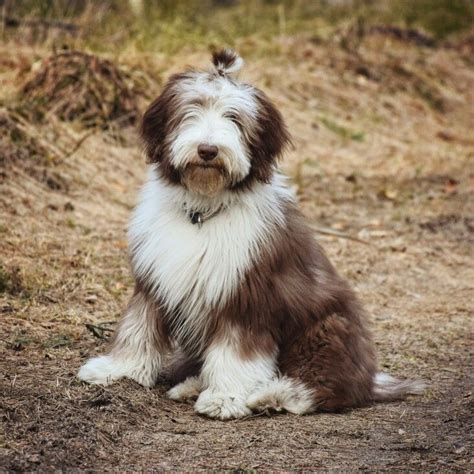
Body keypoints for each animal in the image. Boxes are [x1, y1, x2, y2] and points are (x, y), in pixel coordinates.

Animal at [78, 48, 426, 418]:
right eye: (191, 110)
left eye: (234, 118)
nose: (208, 150)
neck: (203, 212)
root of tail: (370, 380)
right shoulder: (154, 280)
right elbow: (137, 328)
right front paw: (117, 370)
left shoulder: (247, 296)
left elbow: (236, 355)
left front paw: (226, 397)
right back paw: (192, 385)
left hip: (329, 328)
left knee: (321, 385)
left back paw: (271, 395)